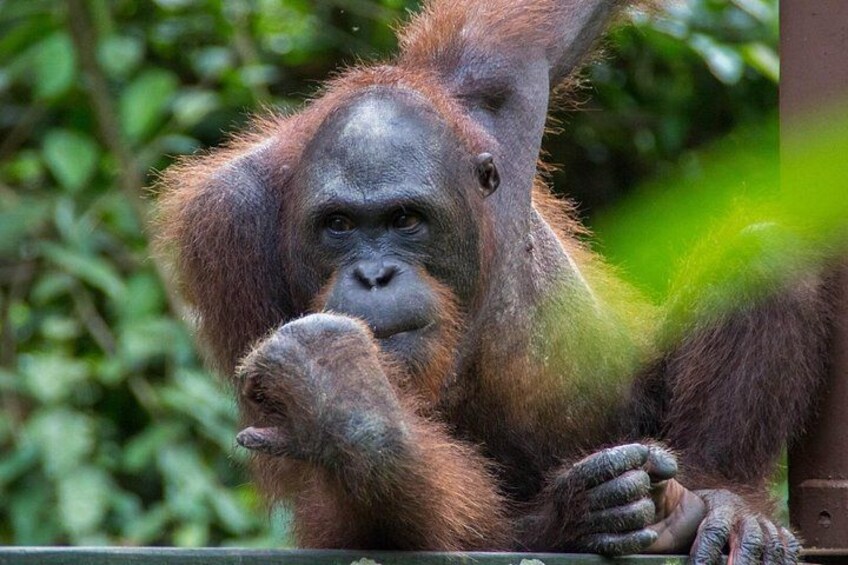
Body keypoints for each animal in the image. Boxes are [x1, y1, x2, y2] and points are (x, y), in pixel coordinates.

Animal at [156, 0, 832, 562]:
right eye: (339, 226)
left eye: (405, 219)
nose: (374, 274)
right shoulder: (226, 232)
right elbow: (345, 518)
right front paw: (344, 407)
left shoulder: (497, 72)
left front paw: (339, 397)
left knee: (764, 252)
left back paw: (722, 501)